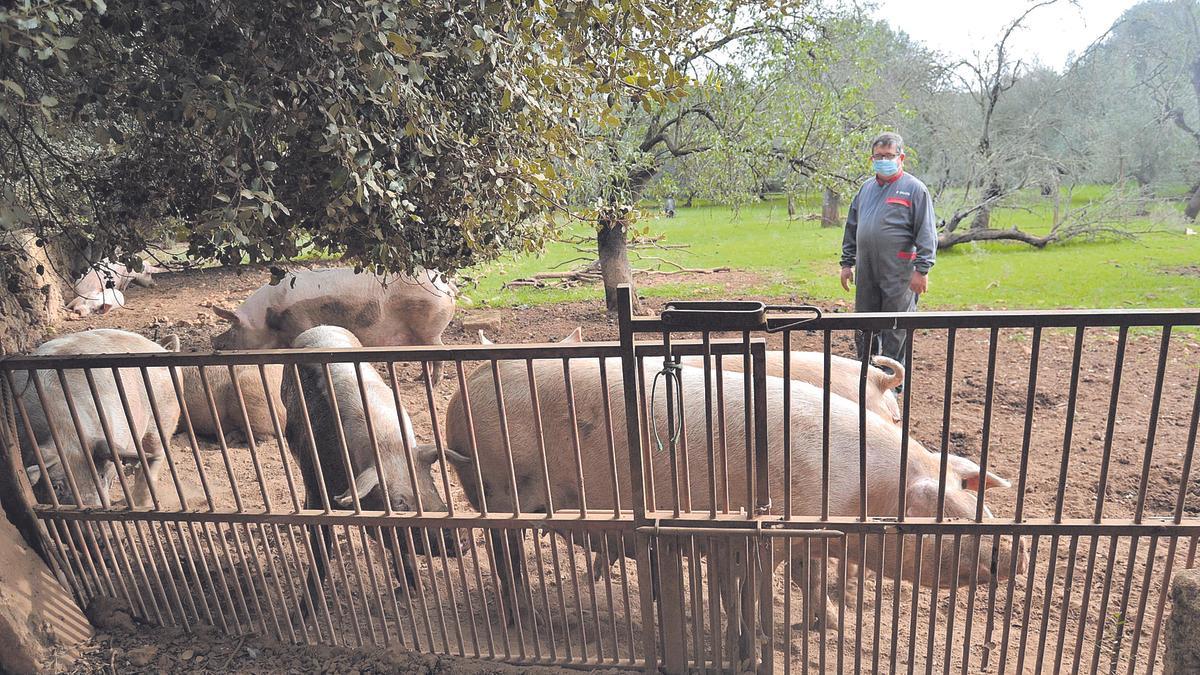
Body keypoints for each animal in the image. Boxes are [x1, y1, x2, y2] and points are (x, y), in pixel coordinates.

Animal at [14, 326, 180, 504]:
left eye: (101, 476)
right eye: (56, 486)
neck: (66, 431)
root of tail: (160, 347)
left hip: (163, 414)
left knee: (153, 458)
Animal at [211, 266, 453, 379]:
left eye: (234, 328)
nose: (214, 343)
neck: (267, 318)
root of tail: (447, 287)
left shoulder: (299, 324)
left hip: (430, 330)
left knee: (439, 352)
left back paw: (431, 383)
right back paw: (420, 378)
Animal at [280, 326, 458, 610]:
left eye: (432, 486)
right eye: (398, 503)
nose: (460, 541)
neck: (386, 446)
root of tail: (318, 328)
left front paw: (411, 592)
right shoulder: (314, 482)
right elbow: (320, 548)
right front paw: (306, 612)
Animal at [446, 355, 1027, 629]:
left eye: (974, 499)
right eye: (945, 514)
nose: (1018, 554)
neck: (863, 496)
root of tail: (463, 393)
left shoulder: (810, 537)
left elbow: (808, 580)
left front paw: (831, 625)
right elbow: (749, 590)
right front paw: (758, 635)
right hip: (500, 493)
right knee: (504, 553)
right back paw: (527, 617)